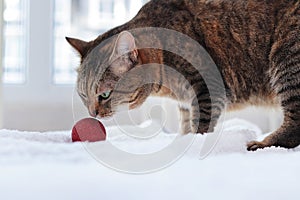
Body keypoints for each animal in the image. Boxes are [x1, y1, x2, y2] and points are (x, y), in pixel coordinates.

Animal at [66, 0, 300, 150]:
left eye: (104, 95)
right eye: (84, 96)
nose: (93, 113)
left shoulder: (207, 89)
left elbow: (200, 125)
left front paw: (193, 144)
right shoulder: (187, 102)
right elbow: (186, 125)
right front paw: (183, 140)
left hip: (287, 55)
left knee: (294, 125)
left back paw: (263, 144)